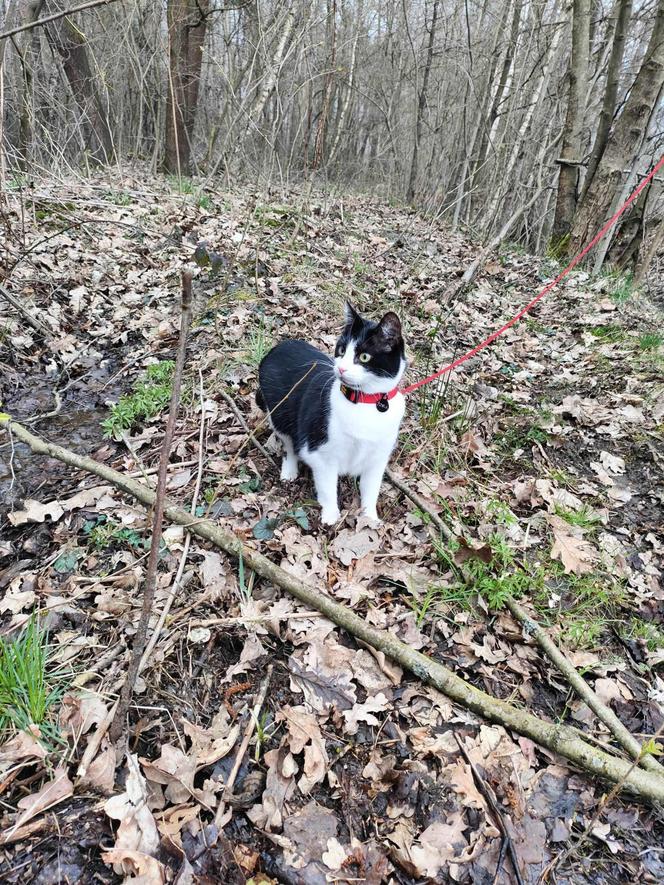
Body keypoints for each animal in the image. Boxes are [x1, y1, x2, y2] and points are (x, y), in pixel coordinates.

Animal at [258, 304, 404, 524]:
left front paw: (369, 518)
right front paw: (331, 516)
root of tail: (277, 348)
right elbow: (327, 486)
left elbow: (371, 489)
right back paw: (289, 470)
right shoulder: (319, 452)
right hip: (279, 413)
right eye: (342, 350)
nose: (341, 368)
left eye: (364, 357)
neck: (365, 403)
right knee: (289, 444)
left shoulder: (378, 457)